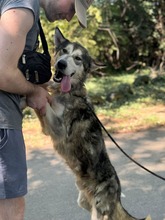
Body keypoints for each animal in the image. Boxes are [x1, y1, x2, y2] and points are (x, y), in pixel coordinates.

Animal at [36, 27, 151, 220]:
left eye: (77, 58)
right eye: (63, 51)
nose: (61, 64)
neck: (69, 93)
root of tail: (118, 196)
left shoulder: (58, 130)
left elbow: (44, 102)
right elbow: (45, 93)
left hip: (99, 211)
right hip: (84, 203)